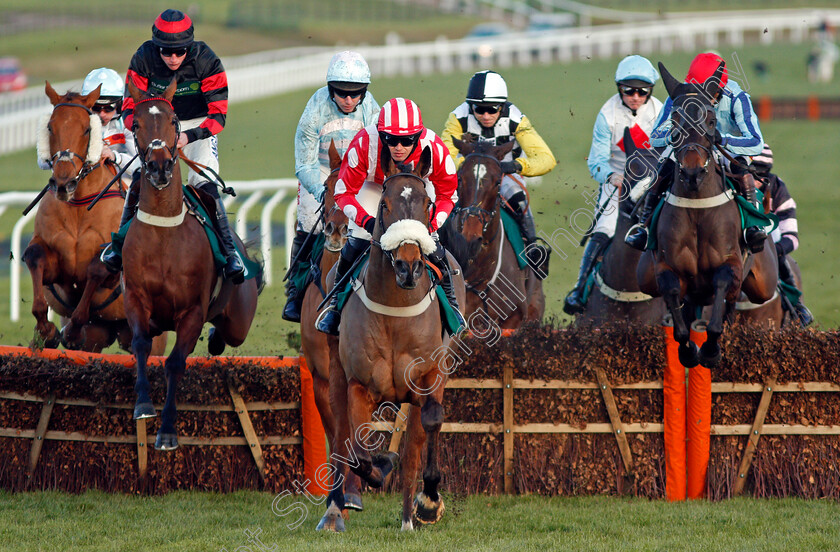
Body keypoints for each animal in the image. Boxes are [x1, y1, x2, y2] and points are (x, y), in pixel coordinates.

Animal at [24, 82, 166, 354]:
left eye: (87, 129)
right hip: (98, 335)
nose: (64, 183)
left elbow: (96, 270)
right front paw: (47, 333)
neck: (79, 207)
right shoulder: (58, 271)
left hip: (151, 334)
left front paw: (70, 331)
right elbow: (35, 257)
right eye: (50, 127)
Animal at [124, 78, 262, 448]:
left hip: (239, 318)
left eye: (174, 121)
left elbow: (175, 363)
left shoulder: (192, 313)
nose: (159, 167)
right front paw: (143, 404)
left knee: (228, 333)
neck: (164, 232)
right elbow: (140, 343)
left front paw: (168, 430)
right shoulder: (136, 299)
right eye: (135, 124)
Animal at [316, 147, 466, 532]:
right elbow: (357, 450)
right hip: (334, 372)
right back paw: (334, 510)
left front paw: (427, 502)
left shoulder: (430, 376)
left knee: (414, 444)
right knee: (340, 434)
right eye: (384, 204)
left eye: (428, 203)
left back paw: (409, 516)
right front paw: (380, 466)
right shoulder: (359, 385)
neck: (396, 312)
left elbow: (431, 421)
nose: (408, 266)